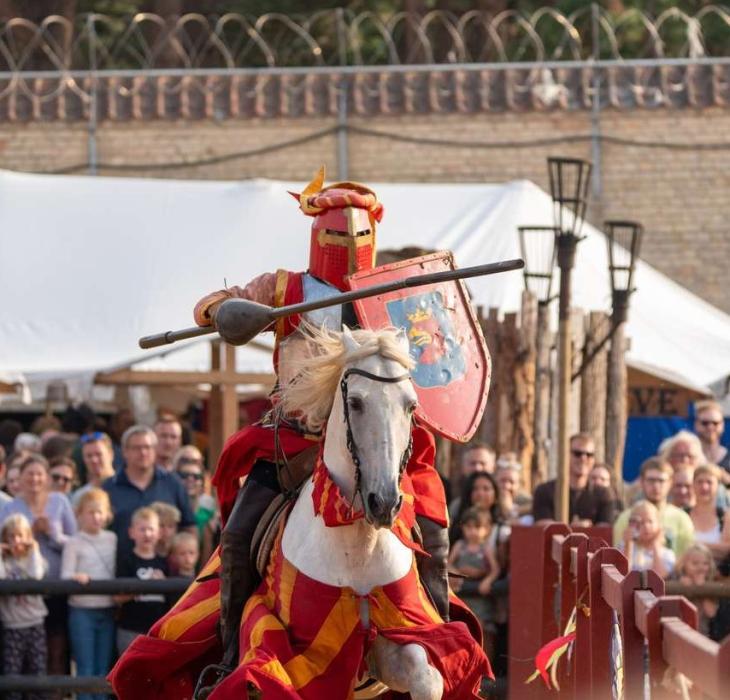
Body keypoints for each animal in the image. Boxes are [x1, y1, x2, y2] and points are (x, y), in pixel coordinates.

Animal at [276, 326, 440, 700]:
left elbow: (426, 676)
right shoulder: (313, 661)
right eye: (355, 403)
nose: (384, 502)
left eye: (411, 405)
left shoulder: (393, 643)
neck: (358, 540)